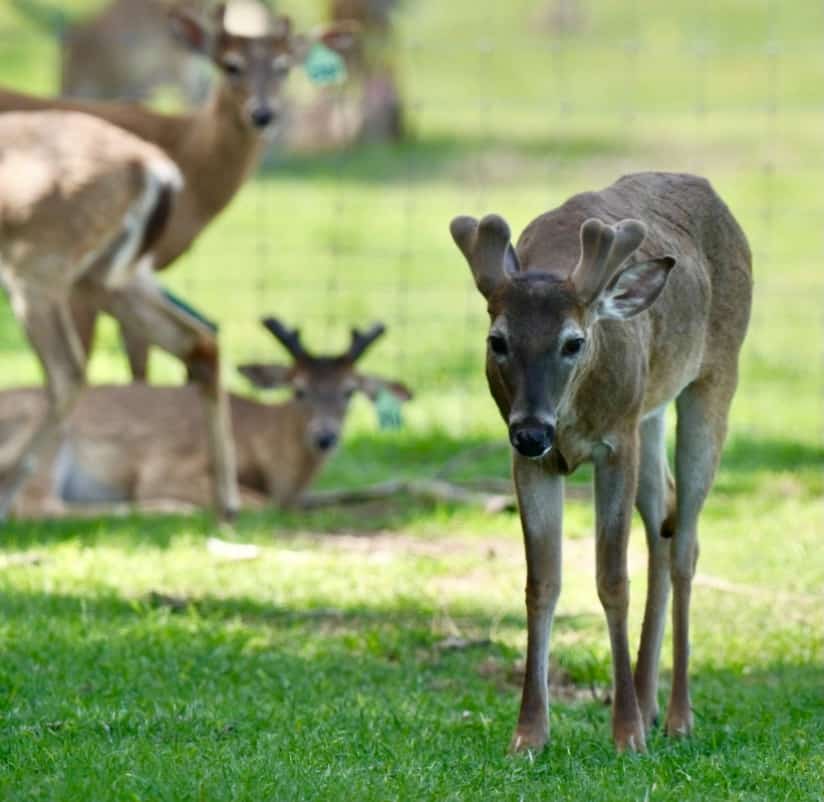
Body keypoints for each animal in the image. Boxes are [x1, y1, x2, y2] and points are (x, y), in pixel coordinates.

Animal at [0, 108, 241, 522]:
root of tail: (154, 168)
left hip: (39, 265)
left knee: (67, 371)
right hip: (111, 275)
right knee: (199, 340)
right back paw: (227, 503)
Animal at [0, 317, 412, 517]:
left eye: (350, 392)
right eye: (299, 390)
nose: (325, 437)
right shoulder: (168, 467)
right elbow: (259, 503)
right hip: (46, 436)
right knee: (37, 505)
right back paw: (168, 510)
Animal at [449, 171, 752, 754]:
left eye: (573, 341)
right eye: (497, 340)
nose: (531, 431)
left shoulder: (615, 442)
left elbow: (612, 579)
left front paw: (626, 735)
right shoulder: (532, 462)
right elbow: (541, 582)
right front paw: (529, 734)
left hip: (714, 376)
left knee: (686, 541)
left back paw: (677, 717)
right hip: (649, 414)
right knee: (664, 518)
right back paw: (647, 700)